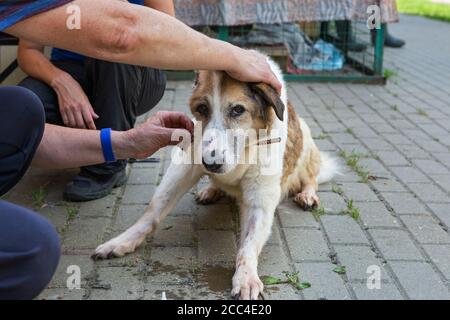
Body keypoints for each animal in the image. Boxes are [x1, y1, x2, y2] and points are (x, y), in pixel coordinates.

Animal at [92, 55, 338, 300]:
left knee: (311, 176)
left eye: (238, 110)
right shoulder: (185, 165)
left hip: (306, 139)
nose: (211, 163)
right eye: (202, 108)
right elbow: (153, 211)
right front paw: (123, 240)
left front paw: (245, 277)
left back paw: (307, 195)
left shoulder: (260, 197)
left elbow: (247, 245)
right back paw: (211, 190)